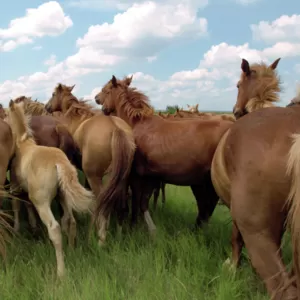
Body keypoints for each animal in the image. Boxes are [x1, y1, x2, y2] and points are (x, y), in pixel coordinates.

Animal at [6, 100, 94, 276]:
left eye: (6, 114)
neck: (23, 144)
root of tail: (59, 162)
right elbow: (26, 206)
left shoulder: (15, 187)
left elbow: (16, 205)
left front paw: (16, 230)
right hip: (64, 197)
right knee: (70, 221)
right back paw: (72, 251)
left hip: (42, 202)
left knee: (54, 228)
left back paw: (61, 272)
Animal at [44, 83, 136, 245]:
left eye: (53, 94)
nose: (46, 106)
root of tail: (116, 128)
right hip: (120, 179)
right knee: (120, 206)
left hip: (96, 178)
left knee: (102, 206)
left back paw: (99, 240)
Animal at [95, 74, 233, 233]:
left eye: (106, 89)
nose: (96, 98)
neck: (137, 124)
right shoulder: (151, 177)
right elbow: (143, 203)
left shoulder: (136, 176)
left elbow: (136, 202)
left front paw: (133, 226)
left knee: (207, 207)